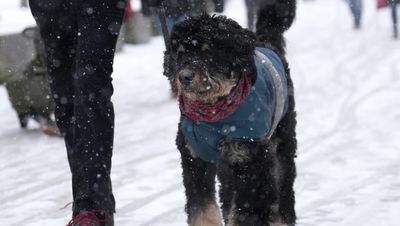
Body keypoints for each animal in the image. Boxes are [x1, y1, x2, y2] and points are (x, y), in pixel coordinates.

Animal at [162, 0, 296, 225]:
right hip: (227, 166)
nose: (184, 77)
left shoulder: (250, 160)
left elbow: (247, 210)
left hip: (282, 142)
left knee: (283, 186)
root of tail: (265, 41)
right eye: (180, 53)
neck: (213, 116)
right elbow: (201, 208)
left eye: (207, 52)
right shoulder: (194, 159)